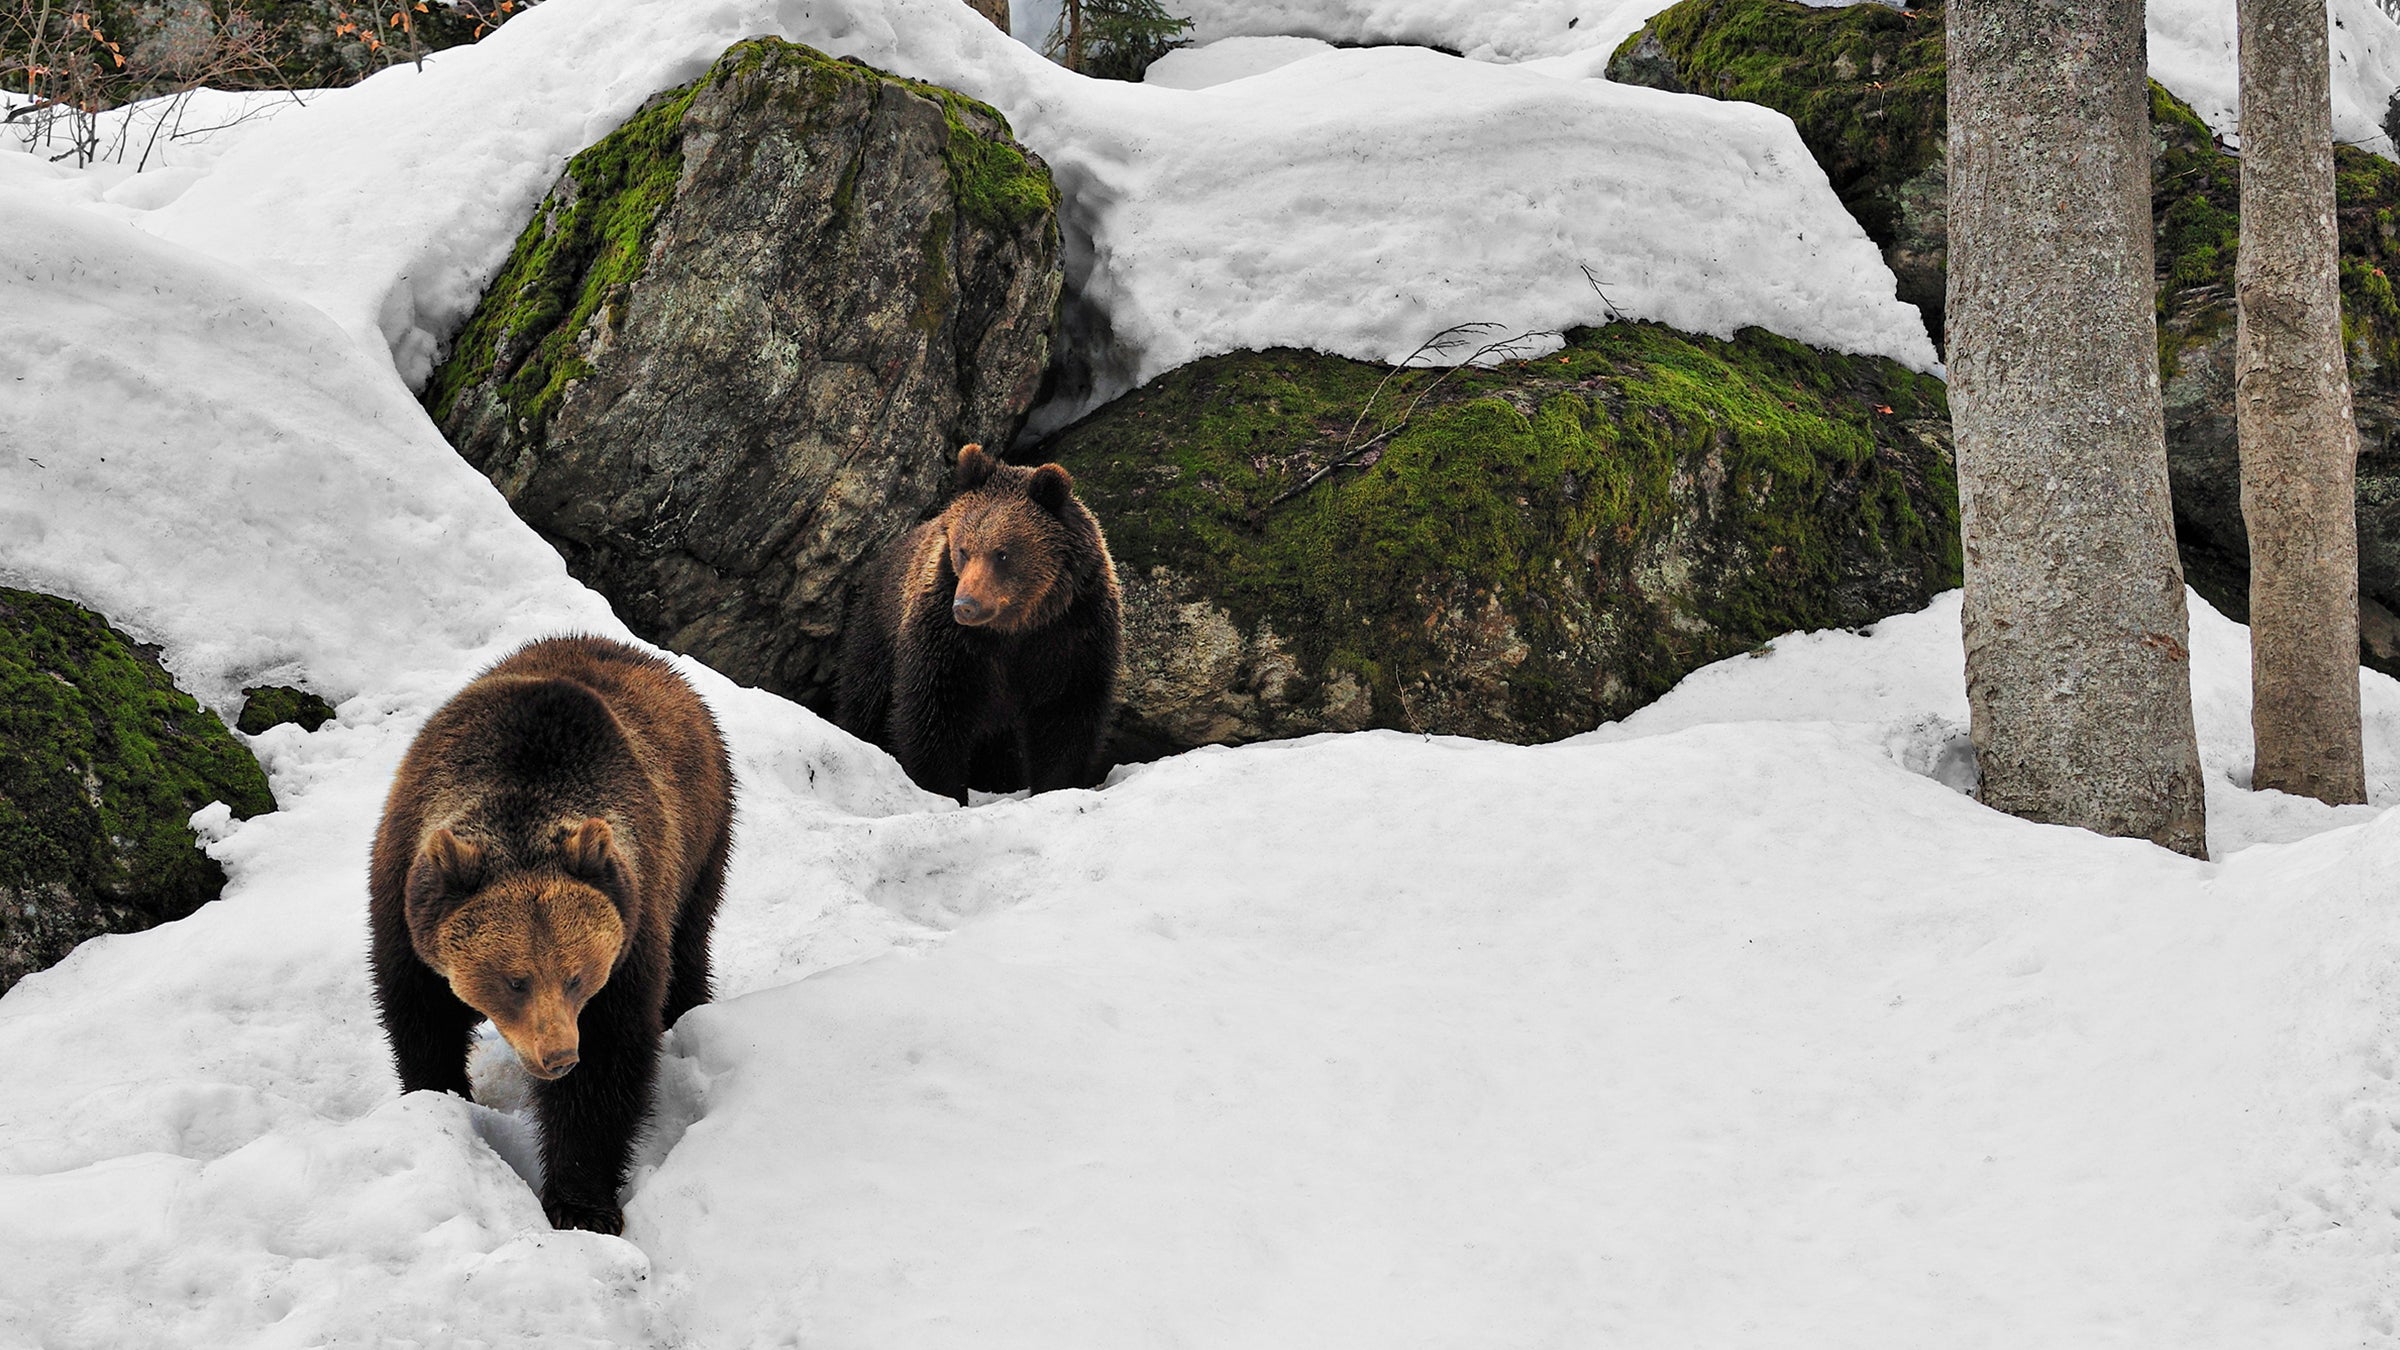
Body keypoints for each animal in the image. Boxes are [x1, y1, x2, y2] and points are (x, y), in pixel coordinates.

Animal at [364, 634, 729, 1239]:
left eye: (578, 976)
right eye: (514, 980)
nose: (557, 1055)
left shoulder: (630, 934)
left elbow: (607, 1065)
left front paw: (581, 1205)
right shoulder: (404, 903)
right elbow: (421, 1017)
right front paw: (437, 1097)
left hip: (705, 834)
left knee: (691, 940)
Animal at [835, 441, 1123, 797]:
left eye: (1003, 553)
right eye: (962, 550)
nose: (965, 606)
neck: (1017, 625)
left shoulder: (1072, 632)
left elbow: (1066, 714)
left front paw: (1056, 785)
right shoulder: (949, 640)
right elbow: (933, 711)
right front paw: (942, 787)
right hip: (877, 633)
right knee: (864, 701)